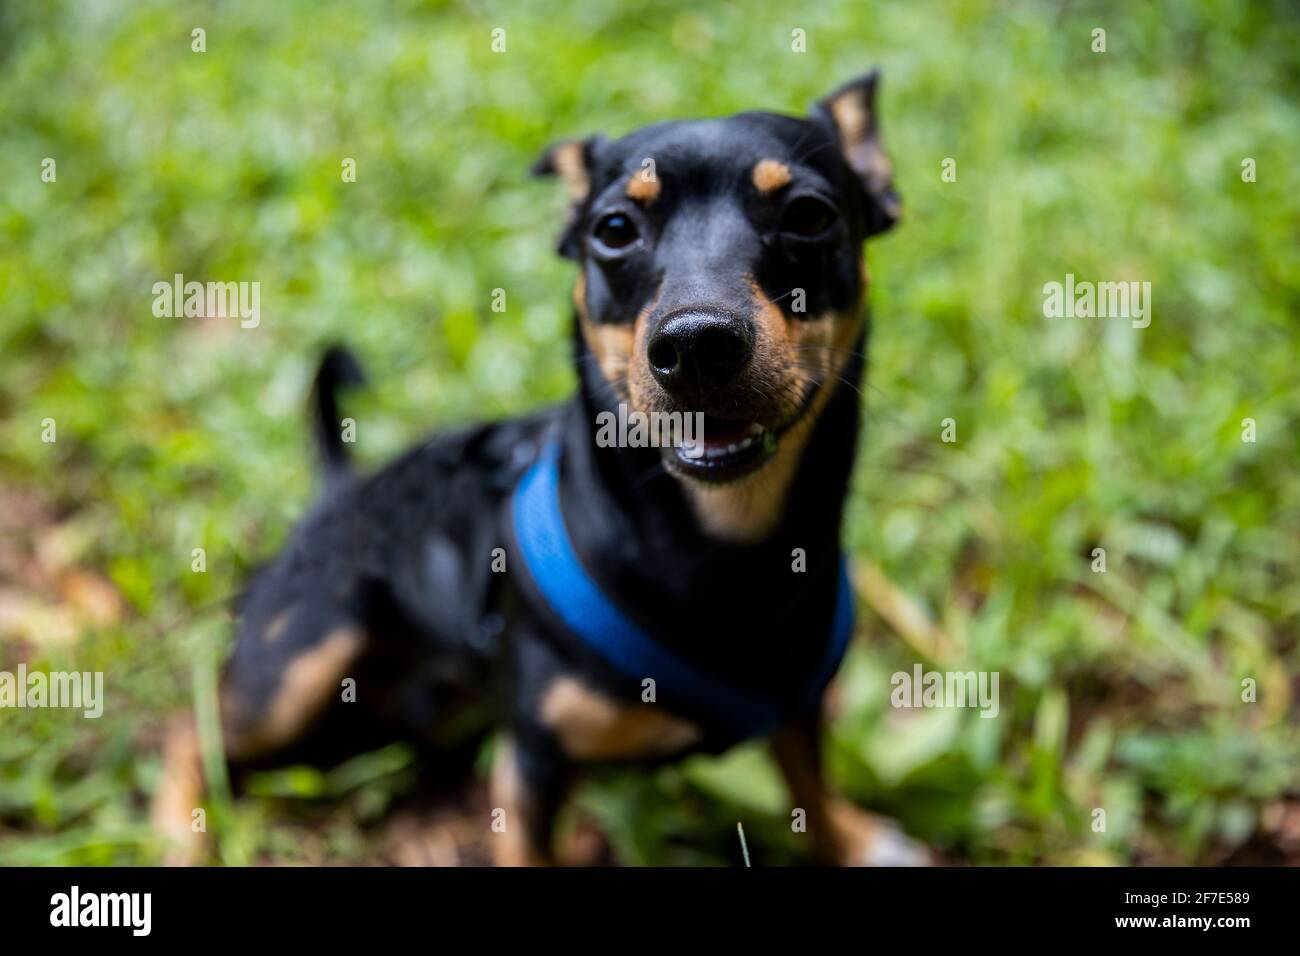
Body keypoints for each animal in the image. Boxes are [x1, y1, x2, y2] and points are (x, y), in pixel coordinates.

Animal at [152, 69, 925, 868]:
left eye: (810, 216)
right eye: (613, 229)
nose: (696, 343)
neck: (719, 549)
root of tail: (338, 490)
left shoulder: (799, 700)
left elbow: (809, 780)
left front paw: (854, 840)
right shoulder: (533, 760)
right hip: (291, 674)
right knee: (188, 732)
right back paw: (181, 836)